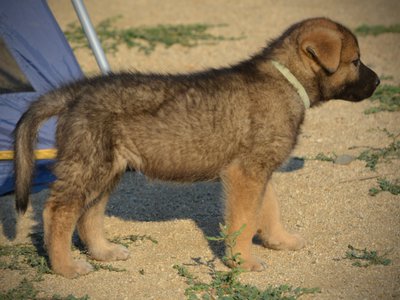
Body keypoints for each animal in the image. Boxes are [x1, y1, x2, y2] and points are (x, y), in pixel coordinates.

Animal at [14, 17, 380, 278]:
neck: (286, 79)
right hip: (89, 165)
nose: (378, 82)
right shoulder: (245, 174)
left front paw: (280, 241)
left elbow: (268, 211)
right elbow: (244, 221)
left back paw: (103, 252)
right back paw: (66, 267)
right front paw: (242, 262)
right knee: (58, 212)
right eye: (356, 62)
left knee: (89, 214)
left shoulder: (258, 169)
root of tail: (78, 92)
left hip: (107, 170)